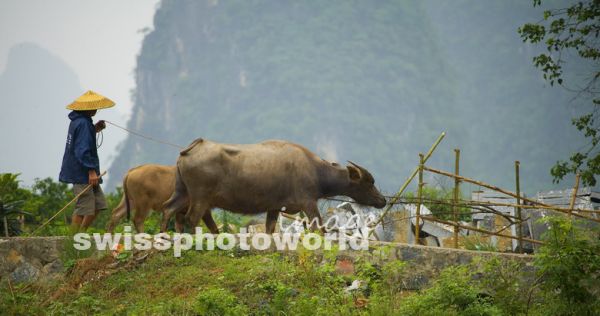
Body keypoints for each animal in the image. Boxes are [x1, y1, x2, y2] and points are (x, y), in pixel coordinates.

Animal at [159, 139, 386, 233]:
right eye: (369, 182)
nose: (382, 200)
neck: (315, 170)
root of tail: (193, 148)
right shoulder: (308, 202)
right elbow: (319, 227)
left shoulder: (274, 207)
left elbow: (270, 229)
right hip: (200, 196)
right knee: (190, 218)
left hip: (183, 192)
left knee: (169, 209)